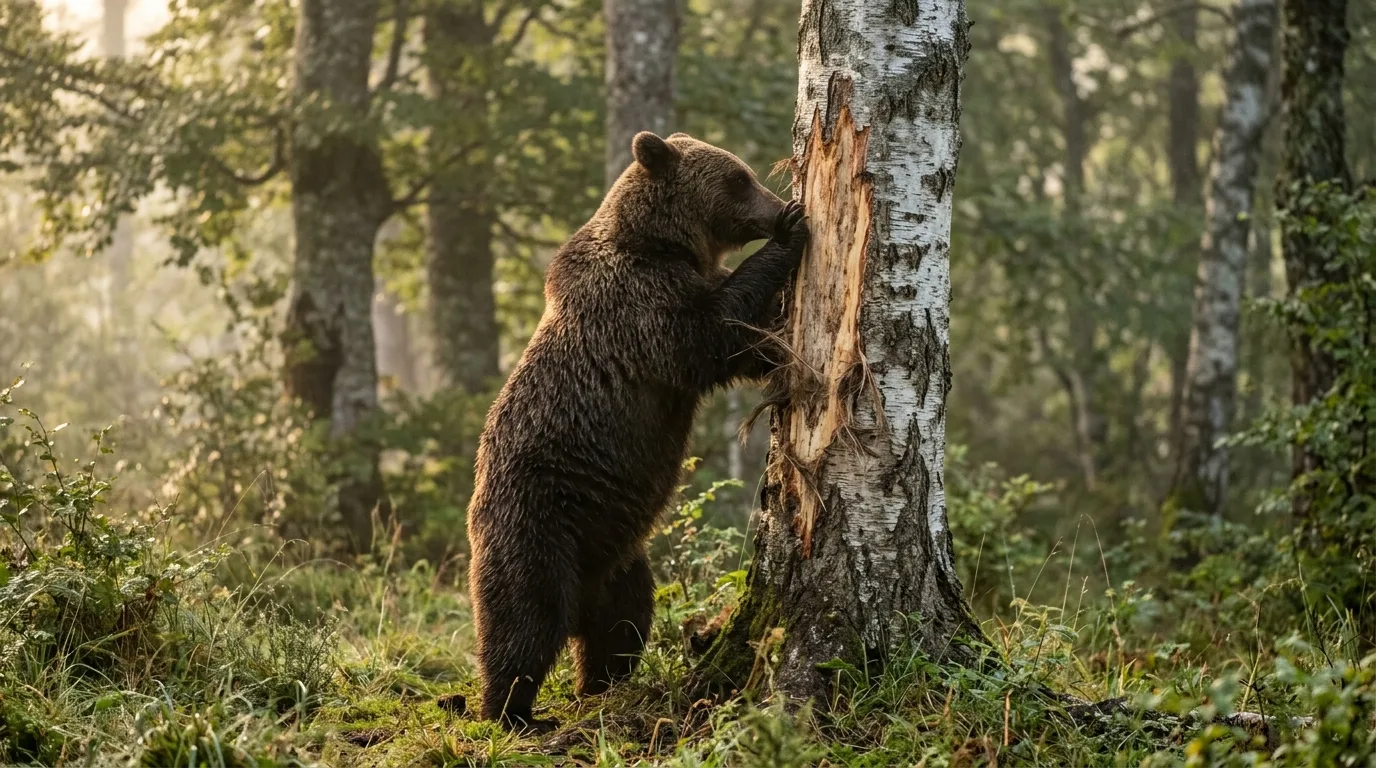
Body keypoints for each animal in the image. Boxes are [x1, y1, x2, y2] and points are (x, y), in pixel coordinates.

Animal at [465, 130, 808, 731]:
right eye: (739, 178)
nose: (775, 204)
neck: (663, 245)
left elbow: (735, 339)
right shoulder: (640, 304)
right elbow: (709, 337)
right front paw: (792, 233)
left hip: (618, 558)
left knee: (622, 624)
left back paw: (602, 686)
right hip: (536, 524)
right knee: (525, 619)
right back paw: (512, 712)